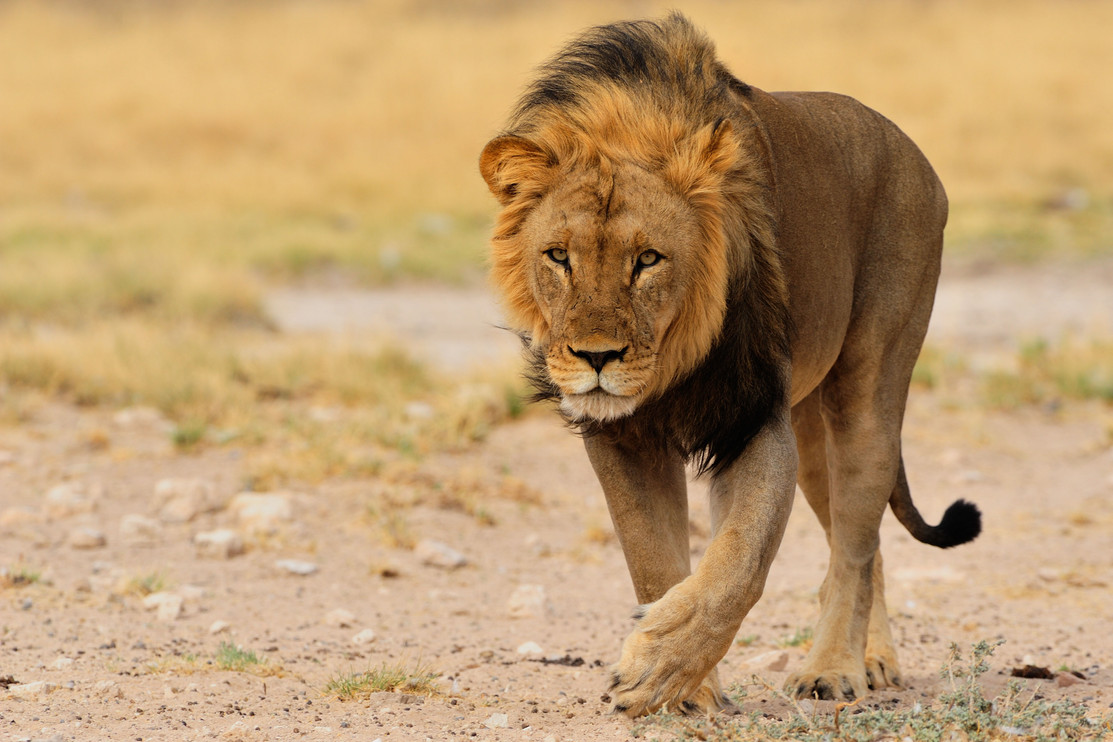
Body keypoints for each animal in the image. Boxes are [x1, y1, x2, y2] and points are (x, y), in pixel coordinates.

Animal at [479, 14, 981, 717]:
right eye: (558, 256)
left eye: (648, 259)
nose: (596, 357)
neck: (670, 363)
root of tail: (909, 146)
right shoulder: (621, 436)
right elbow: (654, 559)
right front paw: (686, 687)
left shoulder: (751, 421)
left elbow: (739, 562)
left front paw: (660, 665)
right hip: (811, 433)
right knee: (862, 542)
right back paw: (873, 659)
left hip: (868, 394)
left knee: (855, 544)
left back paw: (835, 669)